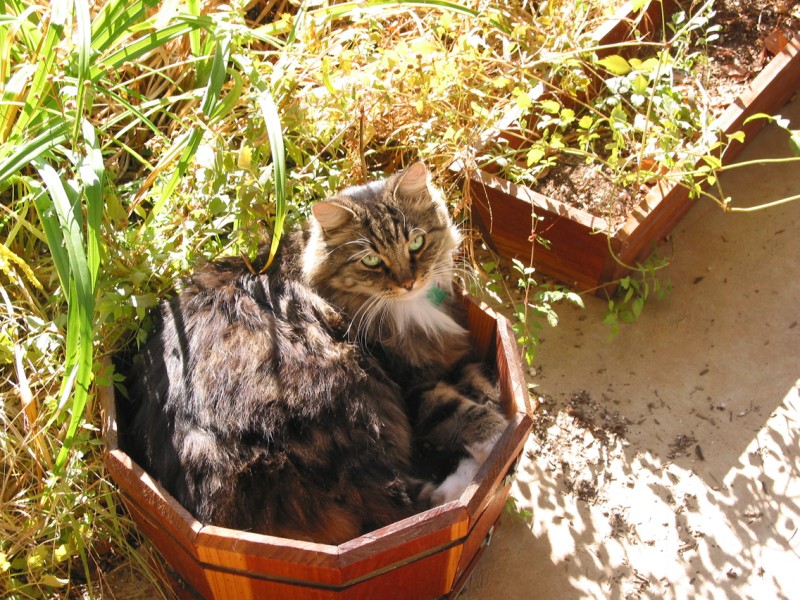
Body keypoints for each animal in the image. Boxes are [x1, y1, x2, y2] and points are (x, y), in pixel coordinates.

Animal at [128, 163, 510, 544]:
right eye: (371, 260)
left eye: (416, 242)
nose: (408, 282)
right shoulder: (409, 382)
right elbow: (457, 409)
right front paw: (500, 434)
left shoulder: (445, 355)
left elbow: (475, 377)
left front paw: (494, 400)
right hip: (361, 406)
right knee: (401, 505)